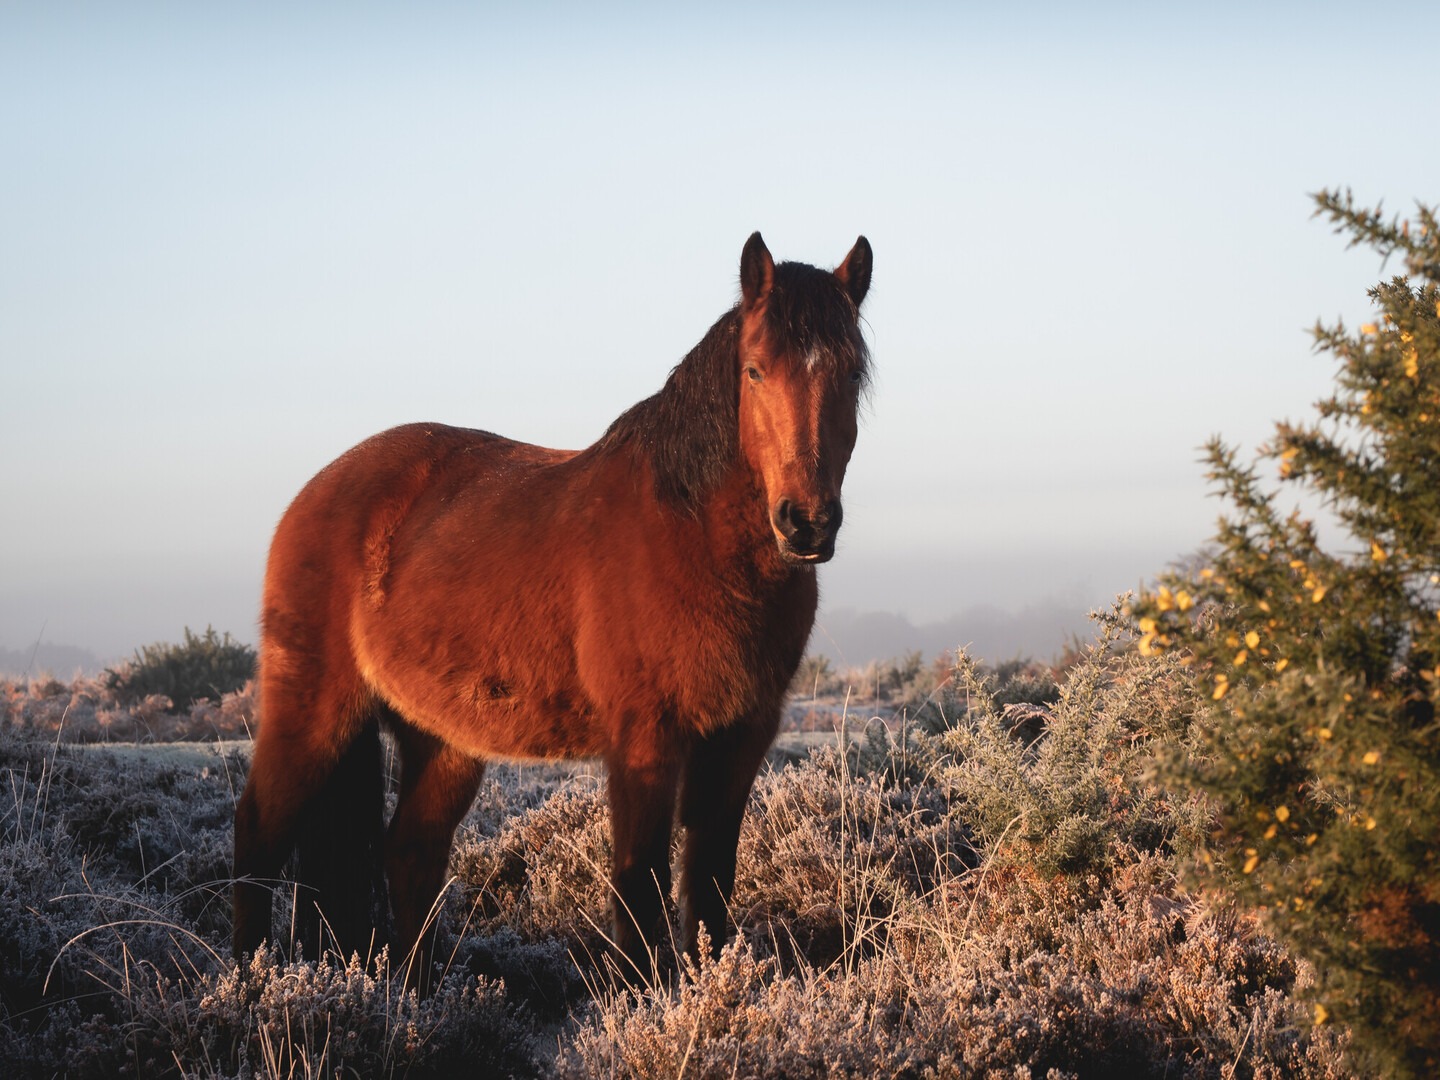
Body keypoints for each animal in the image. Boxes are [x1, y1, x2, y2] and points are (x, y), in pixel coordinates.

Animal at [232, 232, 872, 988]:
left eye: (852, 374)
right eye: (755, 371)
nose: (807, 523)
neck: (693, 535)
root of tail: (316, 493)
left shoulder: (742, 735)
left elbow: (710, 884)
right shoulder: (644, 740)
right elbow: (639, 884)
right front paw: (641, 1001)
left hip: (443, 741)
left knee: (410, 853)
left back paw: (416, 998)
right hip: (312, 714)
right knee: (257, 835)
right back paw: (246, 981)